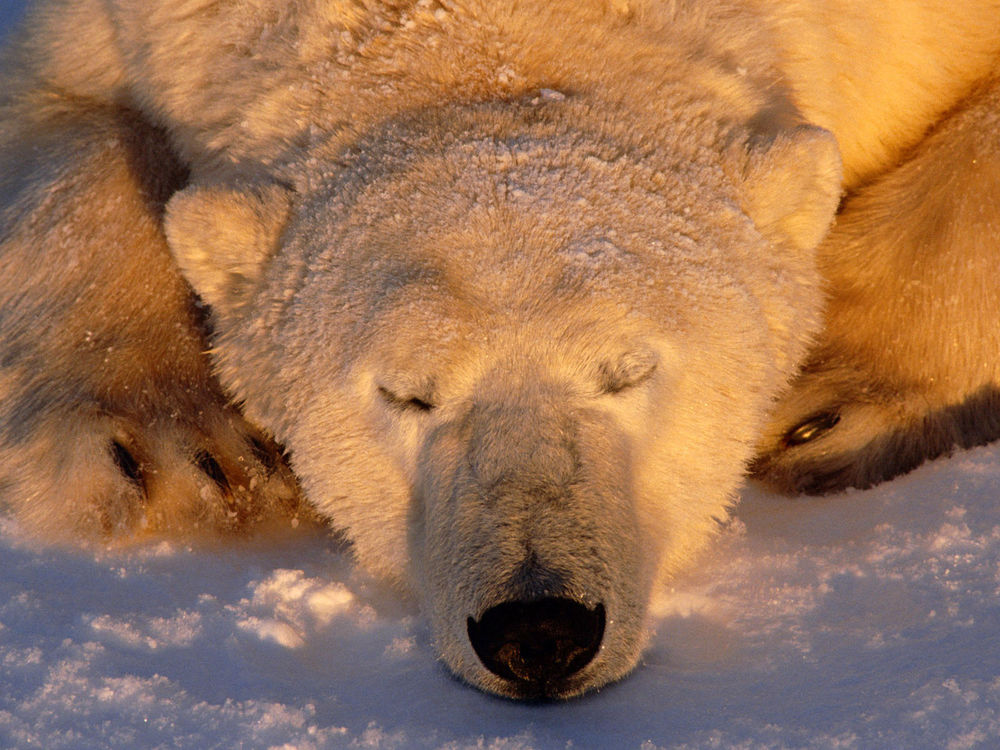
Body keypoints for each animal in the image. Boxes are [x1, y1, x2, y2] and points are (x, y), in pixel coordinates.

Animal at [0, 2, 996, 704]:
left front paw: (828, 401)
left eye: (630, 371)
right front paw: (177, 456)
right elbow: (65, 118)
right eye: (408, 394)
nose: (541, 628)